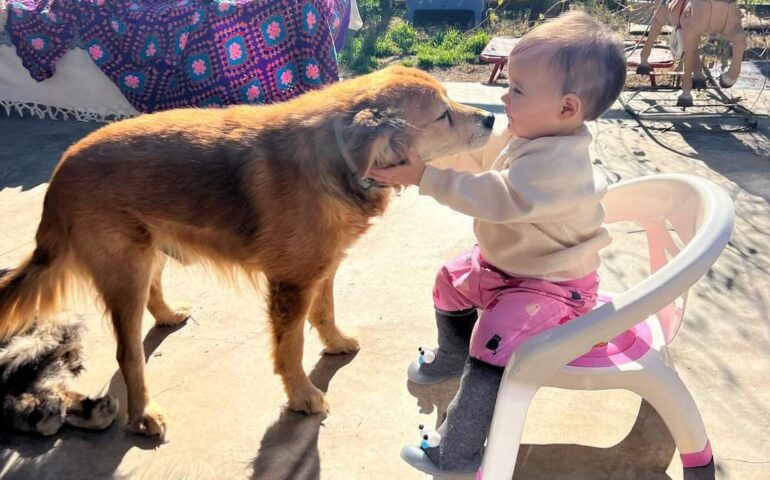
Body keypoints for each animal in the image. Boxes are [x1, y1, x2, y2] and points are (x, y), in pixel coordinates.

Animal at [0, 65, 492, 436]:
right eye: (443, 115)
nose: (490, 121)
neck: (338, 158)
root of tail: (62, 170)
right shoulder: (291, 284)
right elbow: (291, 347)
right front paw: (302, 395)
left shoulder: (322, 267)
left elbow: (325, 311)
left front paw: (335, 343)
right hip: (126, 271)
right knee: (128, 355)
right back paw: (142, 414)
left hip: (148, 250)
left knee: (153, 292)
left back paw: (167, 315)